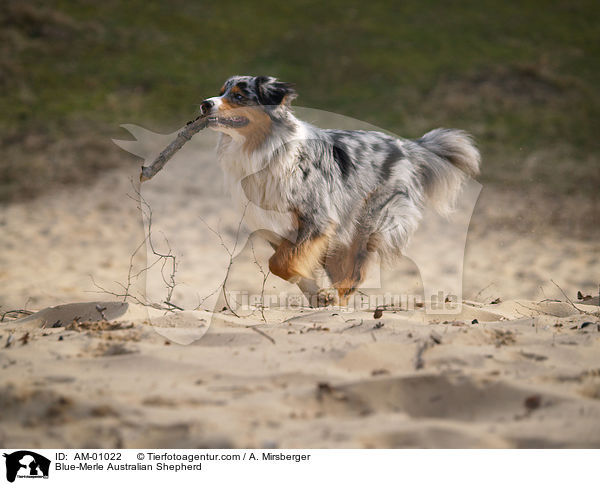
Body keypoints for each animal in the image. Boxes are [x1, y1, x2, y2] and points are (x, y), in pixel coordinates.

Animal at [199, 73, 480, 304]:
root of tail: (406, 146)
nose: (205, 103)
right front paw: (316, 294)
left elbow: (280, 263)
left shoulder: (318, 218)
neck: (262, 151)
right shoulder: (275, 229)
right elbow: (287, 263)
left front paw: (322, 295)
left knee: (352, 277)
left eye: (239, 96)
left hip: (366, 222)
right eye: (221, 91)